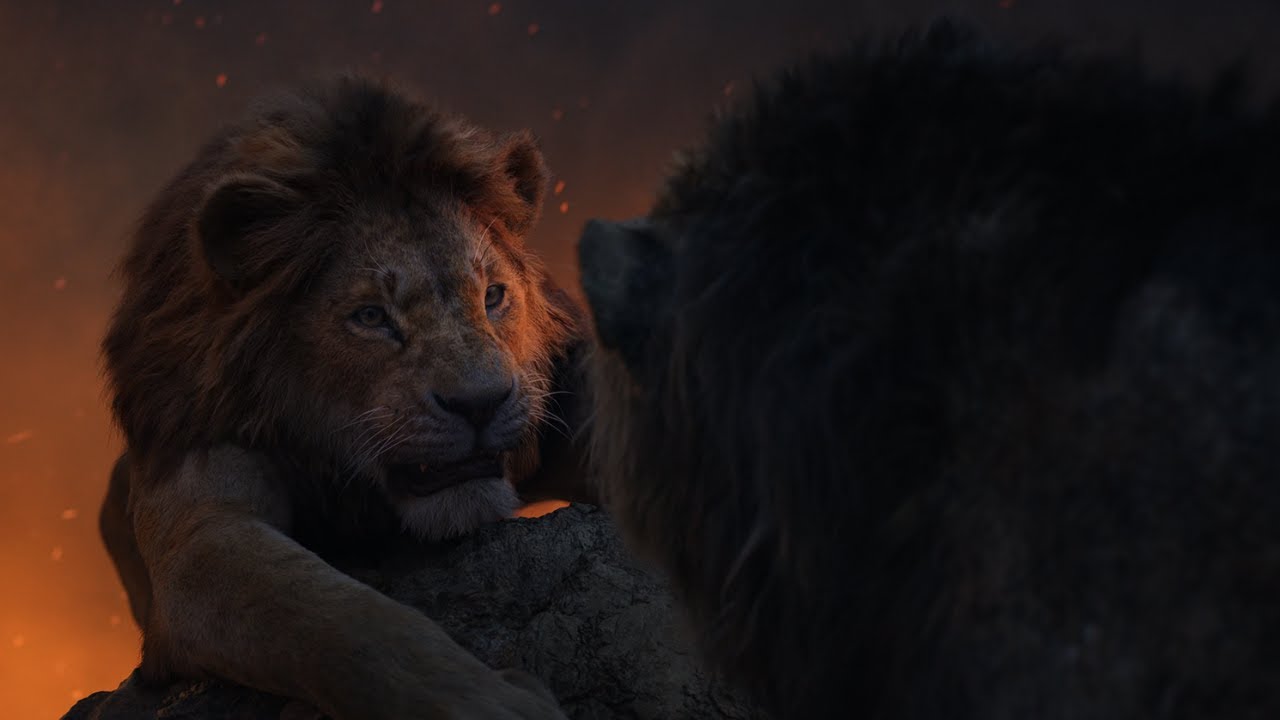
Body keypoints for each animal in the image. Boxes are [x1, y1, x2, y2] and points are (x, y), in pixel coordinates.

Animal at [97, 75, 594, 719]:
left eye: (493, 297)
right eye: (372, 317)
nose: (481, 404)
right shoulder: (202, 521)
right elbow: (354, 629)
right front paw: (502, 704)